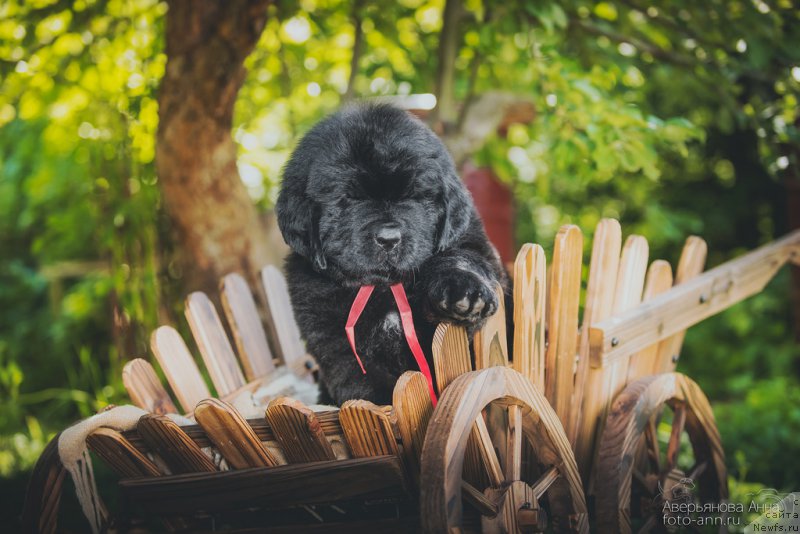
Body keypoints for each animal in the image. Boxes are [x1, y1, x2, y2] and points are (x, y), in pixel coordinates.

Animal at [278, 104, 510, 406]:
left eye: (414, 195)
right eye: (349, 198)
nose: (388, 238)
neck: (385, 287)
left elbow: (460, 258)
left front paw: (466, 293)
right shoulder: (335, 343)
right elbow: (365, 385)